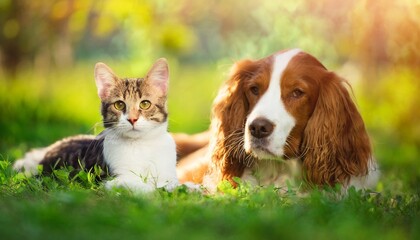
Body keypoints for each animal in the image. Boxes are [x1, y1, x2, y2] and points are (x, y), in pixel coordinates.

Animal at [12, 58, 177, 193]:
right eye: (119, 105)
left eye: (145, 104)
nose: (132, 119)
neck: (142, 145)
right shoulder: (109, 179)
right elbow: (144, 186)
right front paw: (154, 191)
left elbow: (171, 183)